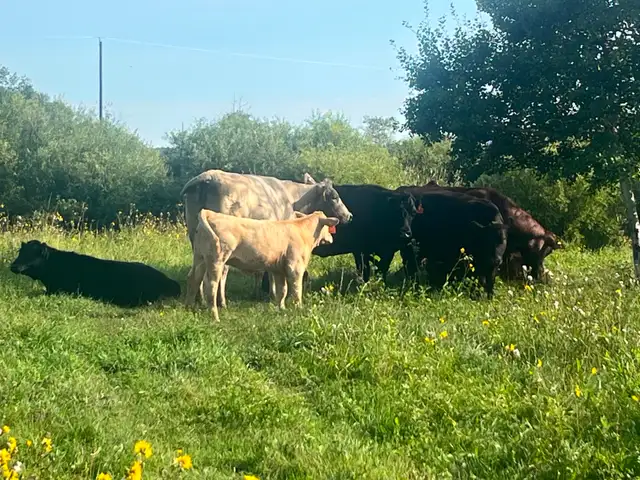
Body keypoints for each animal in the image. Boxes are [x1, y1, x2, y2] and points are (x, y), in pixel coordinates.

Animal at [180, 169, 353, 305]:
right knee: (222, 271)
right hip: (223, 243)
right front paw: (274, 295)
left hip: (197, 240)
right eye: (334, 197)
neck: (292, 200)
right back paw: (221, 302)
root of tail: (206, 177)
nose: (349, 216)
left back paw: (200, 299)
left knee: (198, 270)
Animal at [185, 209, 339, 321]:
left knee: (193, 279)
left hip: (200, 258)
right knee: (211, 286)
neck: (302, 232)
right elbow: (296, 289)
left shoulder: (278, 269)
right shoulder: (295, 267)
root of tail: (210, 213)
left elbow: (282, 290)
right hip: (216, 260)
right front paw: (299, 308)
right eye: (328, 227)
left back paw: (188, 309)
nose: (331, 238)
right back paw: (215, 317)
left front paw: (281, 308)